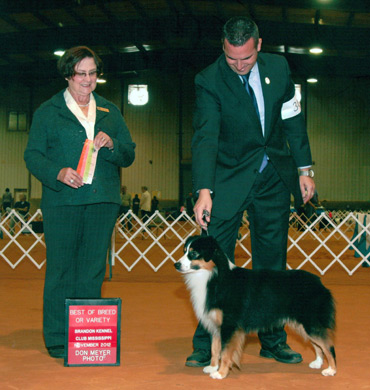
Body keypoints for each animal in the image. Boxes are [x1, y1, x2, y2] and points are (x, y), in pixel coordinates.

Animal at [173, 236, 336, 380]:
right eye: (184, 251)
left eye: (193, 253)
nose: (176, 264)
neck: (214, 276)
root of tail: (319, 282)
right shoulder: (216, 325)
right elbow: (215, 349)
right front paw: (213, 367)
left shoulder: (229, 325)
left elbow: (225, 352)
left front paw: (220, 373)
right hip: (303, 323)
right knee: (318, 344)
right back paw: (318, 363)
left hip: (309, 321)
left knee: (328, 345)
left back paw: (331, 370)